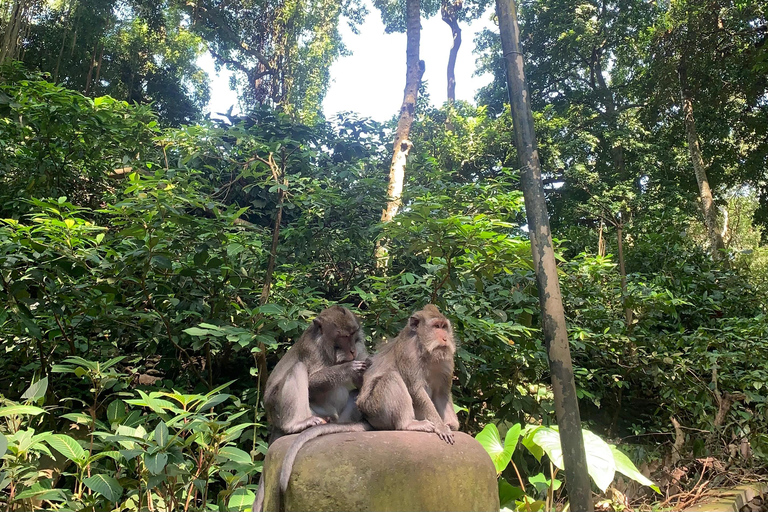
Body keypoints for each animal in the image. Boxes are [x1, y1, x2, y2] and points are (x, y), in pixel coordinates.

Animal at [252, 305, 369, 512]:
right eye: (343, 336)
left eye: (353, 334)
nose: (352, 351)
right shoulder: (311, 350)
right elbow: (312, 380)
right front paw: (348, 368)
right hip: (278, 408)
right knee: (297, 369)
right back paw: (296, 424)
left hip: (334, 417)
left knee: (353, 395)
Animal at [275, 305, 460, 505]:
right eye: (436, 326)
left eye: (444, 326)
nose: (445, 338)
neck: (425, 350)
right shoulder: (408, 354)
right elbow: (416, 390)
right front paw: (441, 426)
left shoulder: (446, 360)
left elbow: (442, 393)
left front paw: (451, 424)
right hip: (375, 408)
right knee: (391, 377)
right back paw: (408, 423)